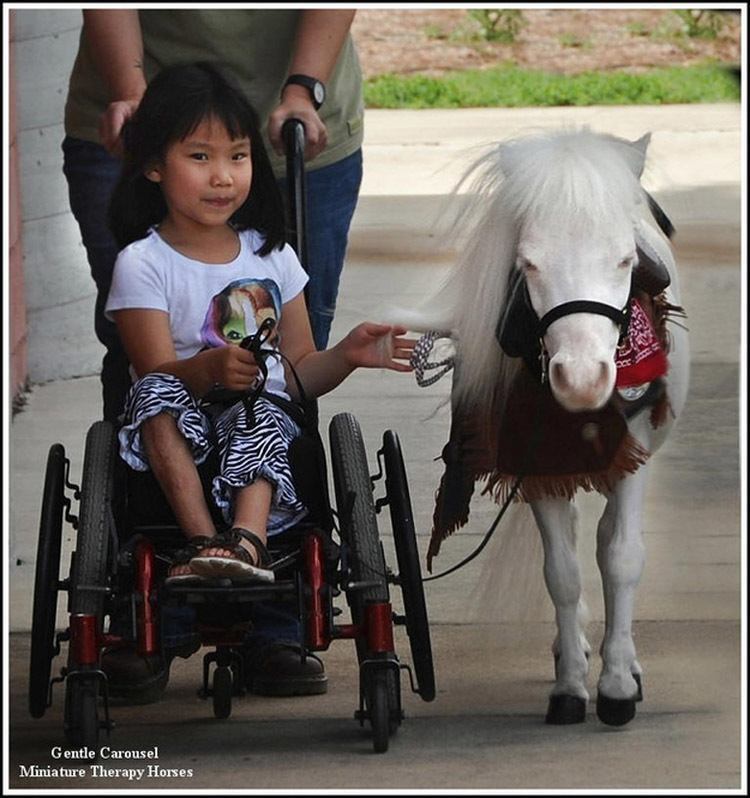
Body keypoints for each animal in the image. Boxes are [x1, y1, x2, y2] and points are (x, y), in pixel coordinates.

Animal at [401, 128, 690, 726]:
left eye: (626, 260)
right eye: (529, 265)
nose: (581, 378)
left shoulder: (634, 456)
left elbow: (621, 558)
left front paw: (617, 685)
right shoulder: (536, 466)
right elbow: (562, 572)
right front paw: (571, 686)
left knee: (607, 541)